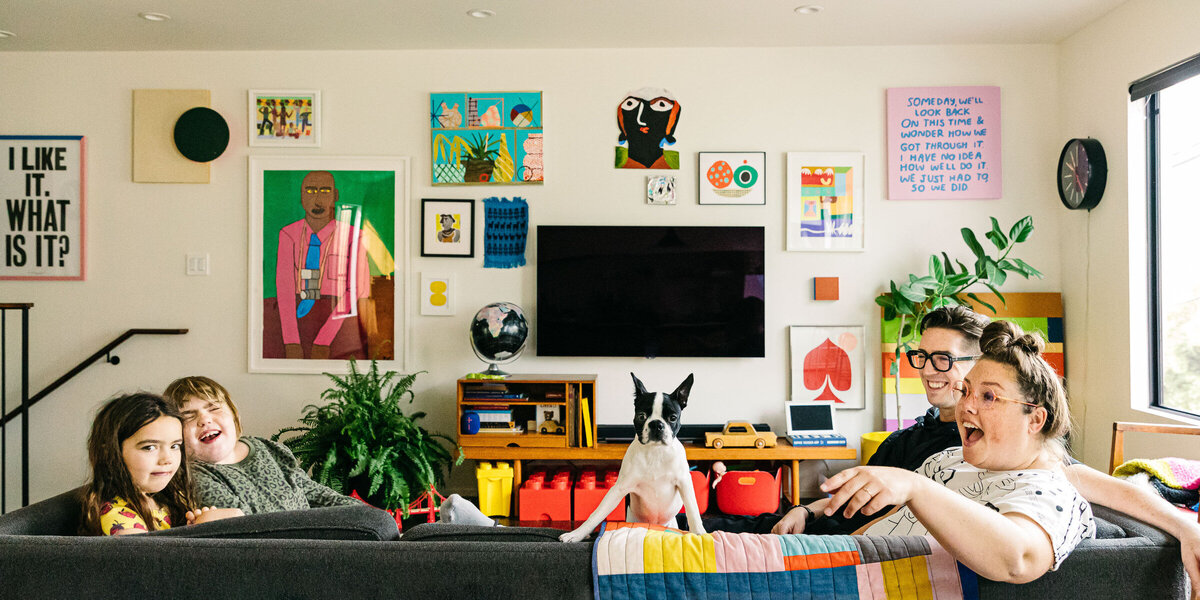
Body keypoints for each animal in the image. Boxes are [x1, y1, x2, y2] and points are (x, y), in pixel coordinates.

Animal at [559, 372, 705, 542]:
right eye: (641, 416)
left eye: (673, 418)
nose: (656, 424)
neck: (655, 452)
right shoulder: (619, 488)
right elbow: (597, 513)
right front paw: (576, 534)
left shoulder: (684, 483)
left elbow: (692, 509)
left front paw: (700, 533)